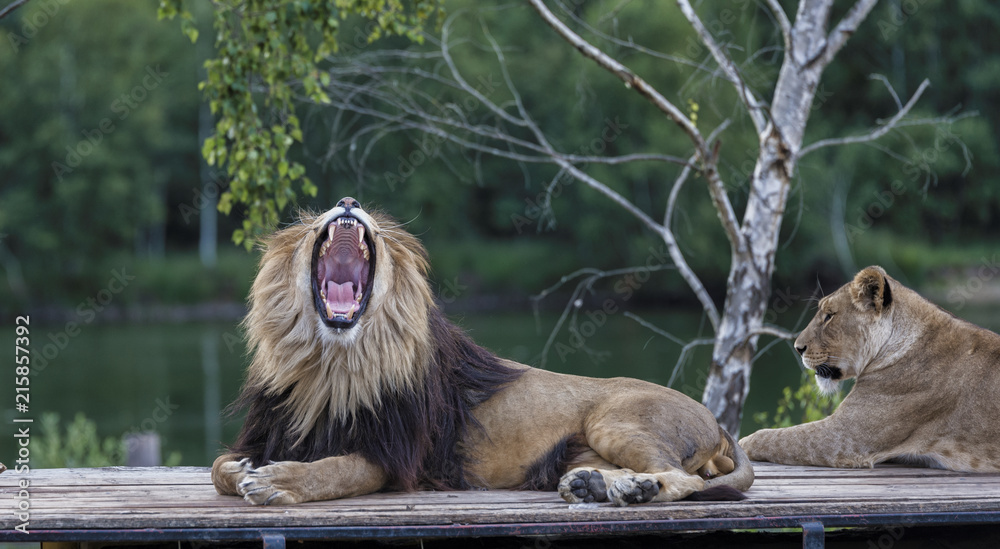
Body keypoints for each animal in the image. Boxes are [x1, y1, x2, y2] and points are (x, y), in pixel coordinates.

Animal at [211, 197, 754, 506]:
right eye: (311, 227)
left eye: (379, 231)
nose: (347, 200)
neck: (330, 364)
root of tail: (716, 421)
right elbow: (219, 469)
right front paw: (242, 470)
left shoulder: (397, 459)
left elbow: (333, 471)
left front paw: (277, 482)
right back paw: (598, 486)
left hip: (615, 420)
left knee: (682, 478)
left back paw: (638, 490)